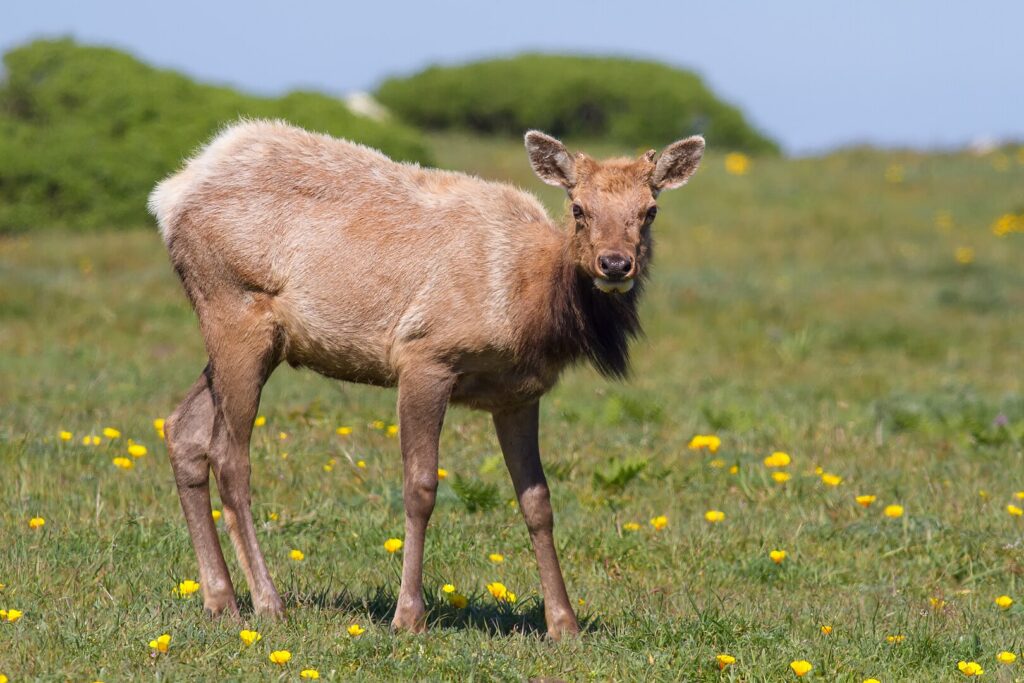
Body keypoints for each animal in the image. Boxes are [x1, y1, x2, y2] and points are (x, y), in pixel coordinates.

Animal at [149, 120, 704, 639]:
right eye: (578, 208)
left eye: (649, 211)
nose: (615, 263)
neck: (532, 308)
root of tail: (169, 195)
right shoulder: (425, 357)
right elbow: (420, 487)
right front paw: (408, 615)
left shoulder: (518, 394)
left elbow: (537, 501)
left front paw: (563, 623)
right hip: (236, 309)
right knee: (229, 455)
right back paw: (268, 602)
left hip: (261, 341)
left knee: (183, 428)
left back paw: (220, 600)